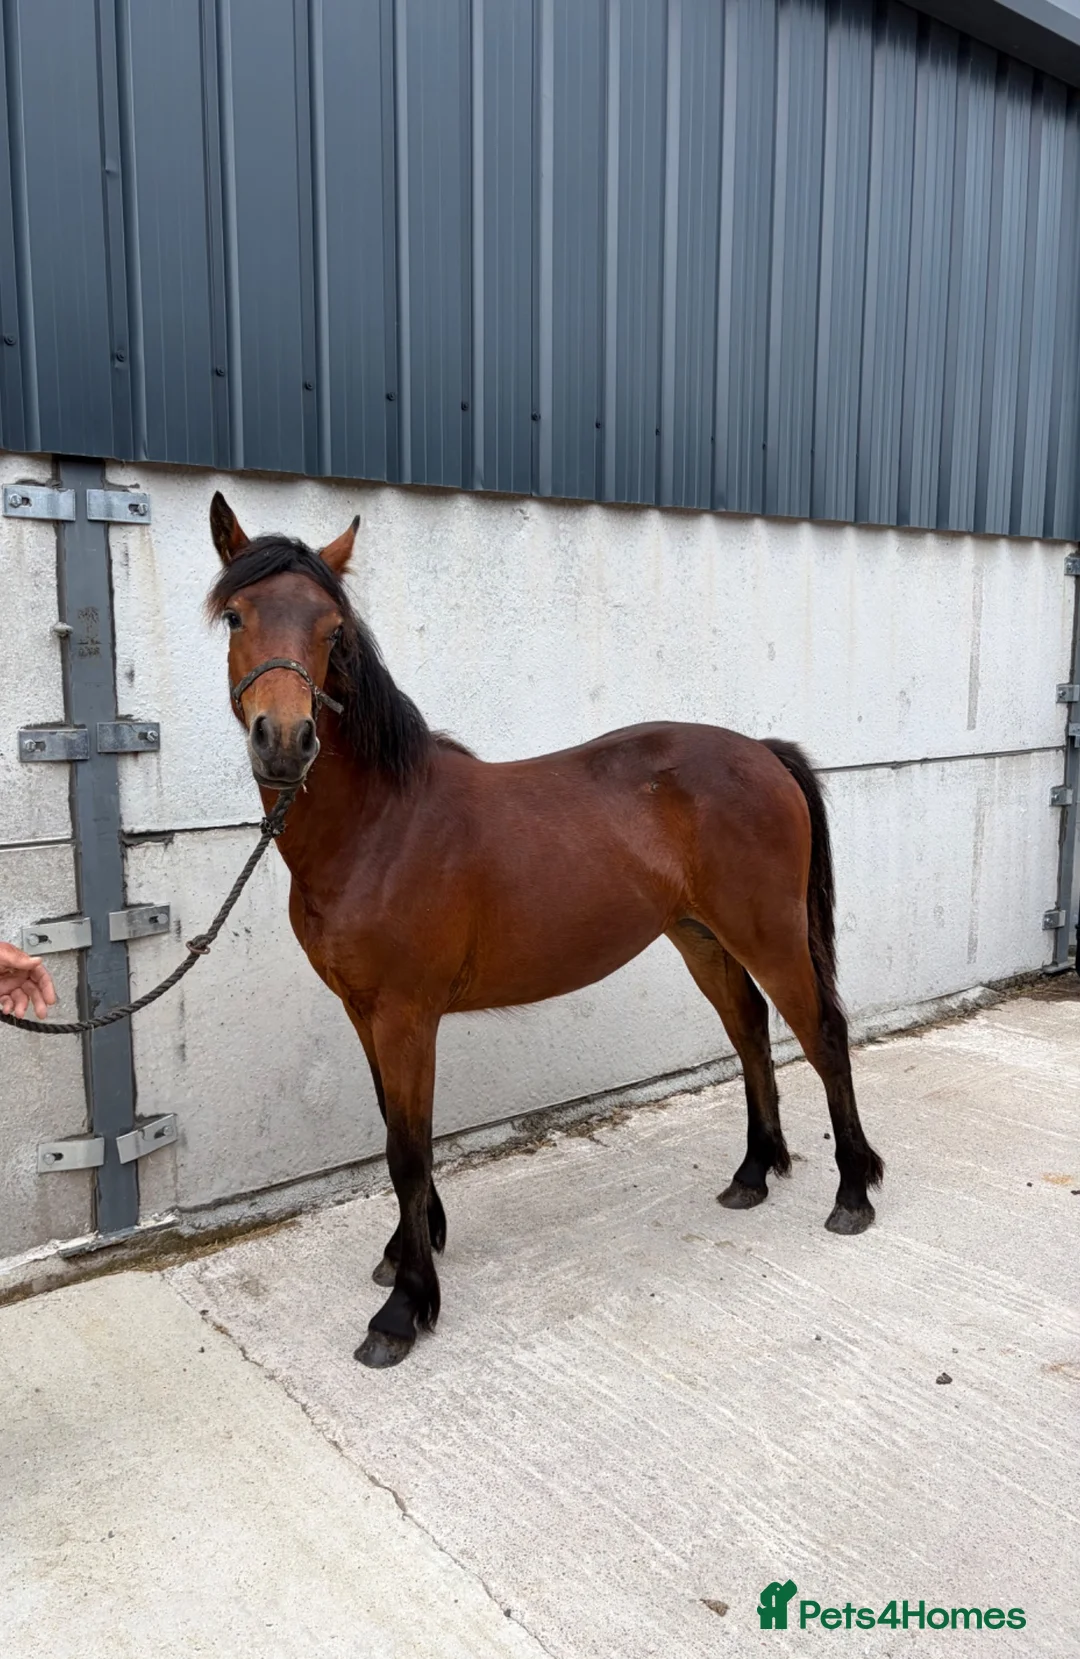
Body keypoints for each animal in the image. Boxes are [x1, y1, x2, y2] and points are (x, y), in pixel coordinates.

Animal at [206, 493, 884, 1368]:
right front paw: (406, 1250)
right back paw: (753, 1173)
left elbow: (407, 1149)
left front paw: (404, 1306)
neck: (378, 824)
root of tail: (763, 753)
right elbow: (395, 1130)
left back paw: (853, 1191)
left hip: (766, 934)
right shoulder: (364, 1012)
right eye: (236, 617)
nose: (286, 742)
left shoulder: (405, 1015)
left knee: (822, 1033)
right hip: (701, 937)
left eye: (332, 629)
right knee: (751, 1035)